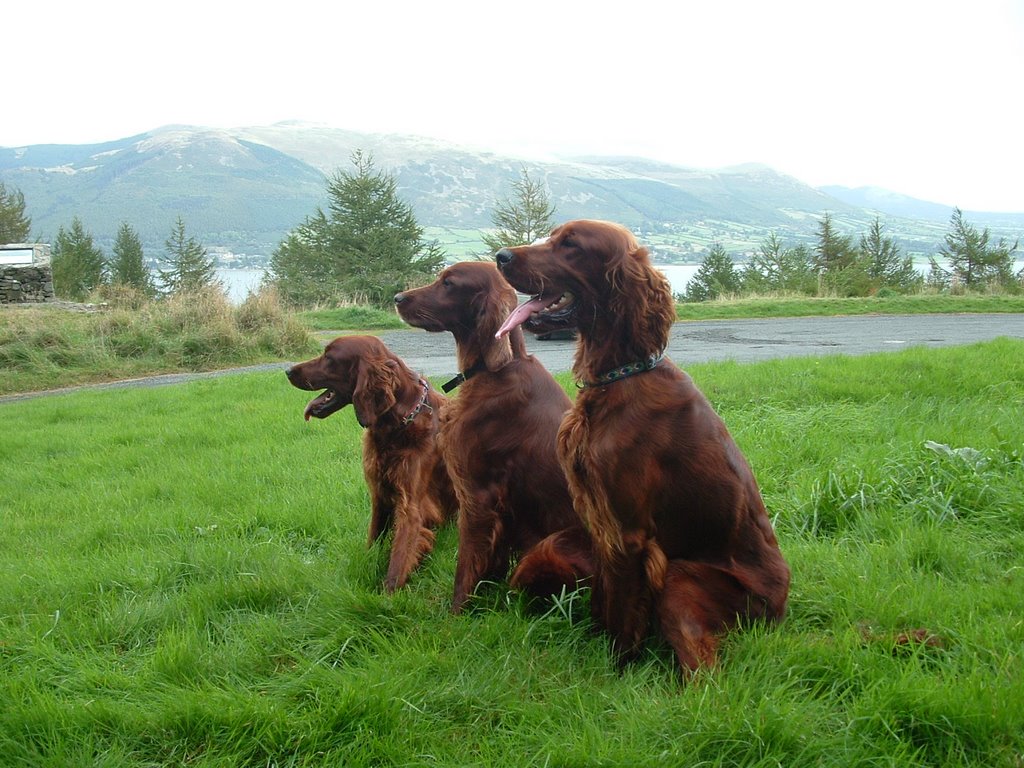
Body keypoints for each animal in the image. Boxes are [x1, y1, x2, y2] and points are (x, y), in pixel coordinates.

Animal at [282, 333, 454, 593]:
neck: (398, 425)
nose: (288, 371)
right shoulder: (380, 494)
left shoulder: (411, 506)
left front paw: (387, 596)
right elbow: (373, 540)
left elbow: (399, 558)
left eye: (329, 357)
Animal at [395, 264, 598, 614]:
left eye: (449, 283)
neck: (492, 371)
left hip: (551, 547)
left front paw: (456, 615)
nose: (397, 298)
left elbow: (466, 564)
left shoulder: (477, 495)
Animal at [495, 219, 790, 671]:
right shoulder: (601, 524)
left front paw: (618, 669)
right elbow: (604, 599)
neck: (619, 377)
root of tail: (780, 607)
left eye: (571, 245)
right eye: (553, 236)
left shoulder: (628, 532)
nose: (500, 257)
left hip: (681, 580)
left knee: (704, 670)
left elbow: (621, 611)